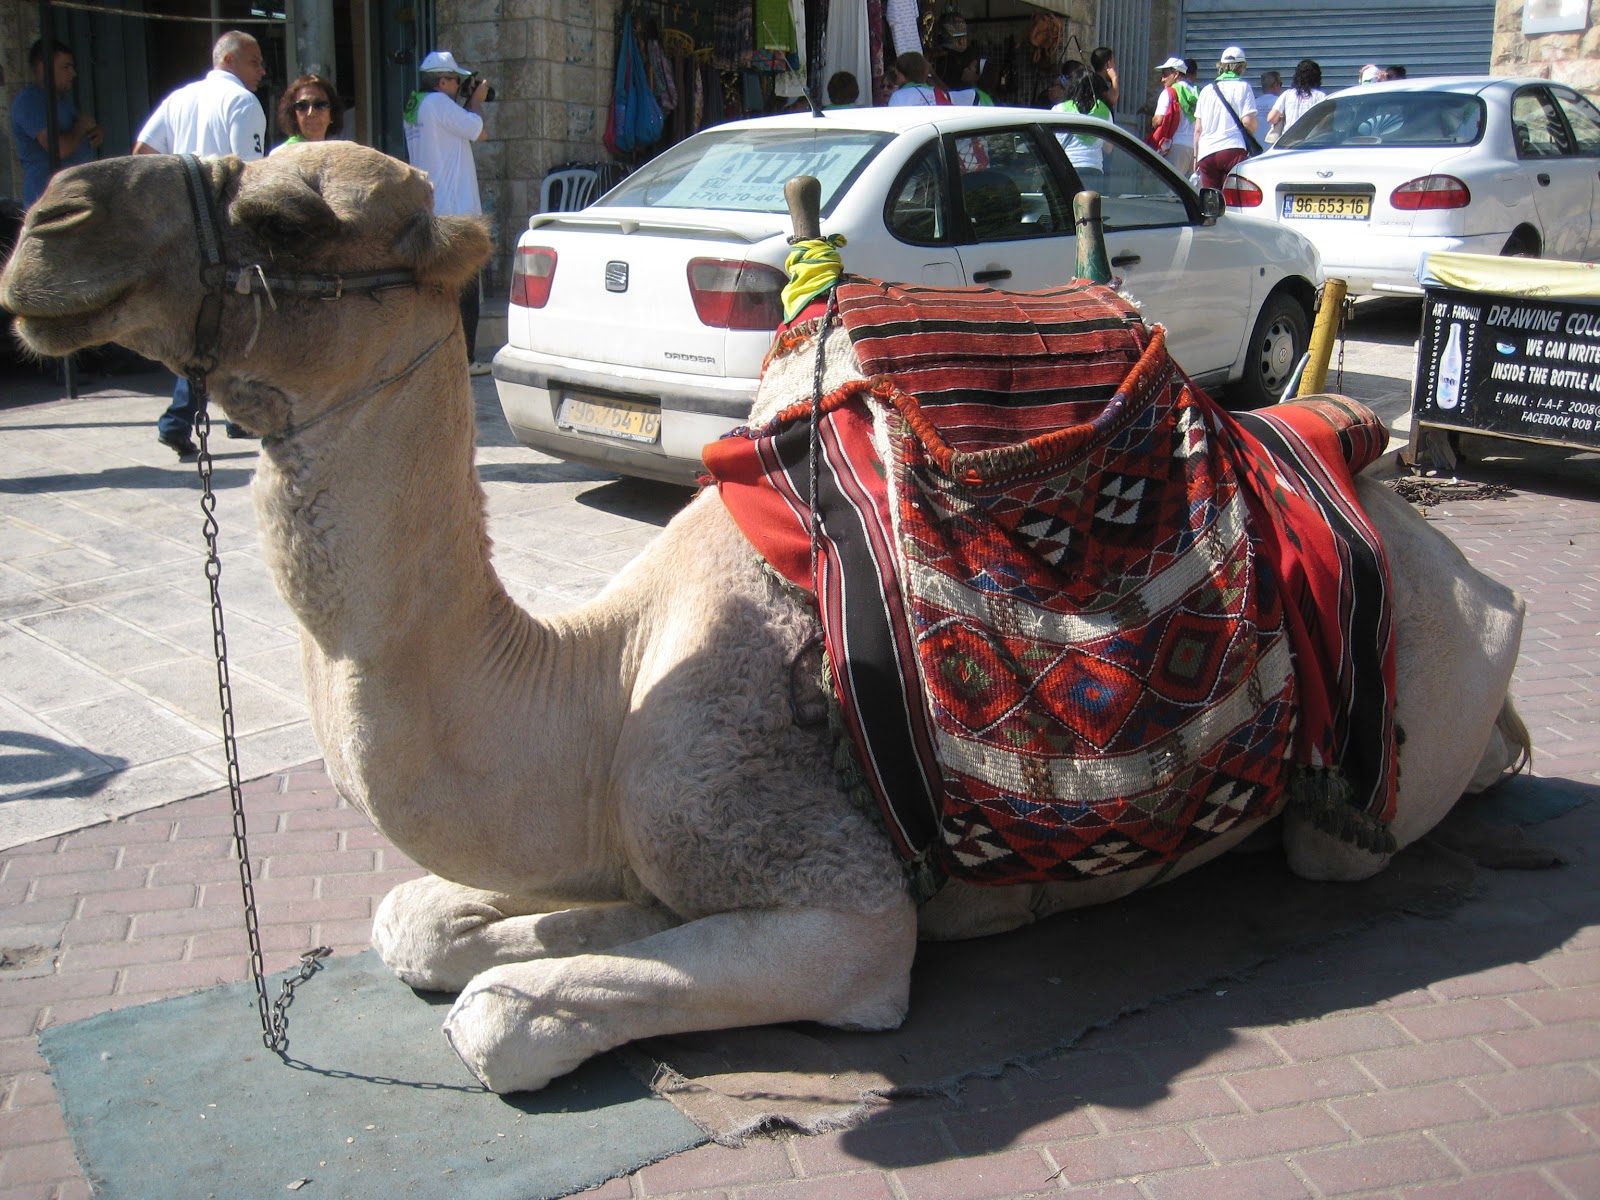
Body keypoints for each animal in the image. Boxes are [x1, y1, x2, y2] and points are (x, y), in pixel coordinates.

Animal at [2, 144, 1529, 1096]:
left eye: (288, 220)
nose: (49, 223)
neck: (597, 694)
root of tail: (1459, 559)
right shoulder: (647, 838)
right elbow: (423, 926)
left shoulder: (838, 912)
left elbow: (503, 1013)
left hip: (1404, 735)